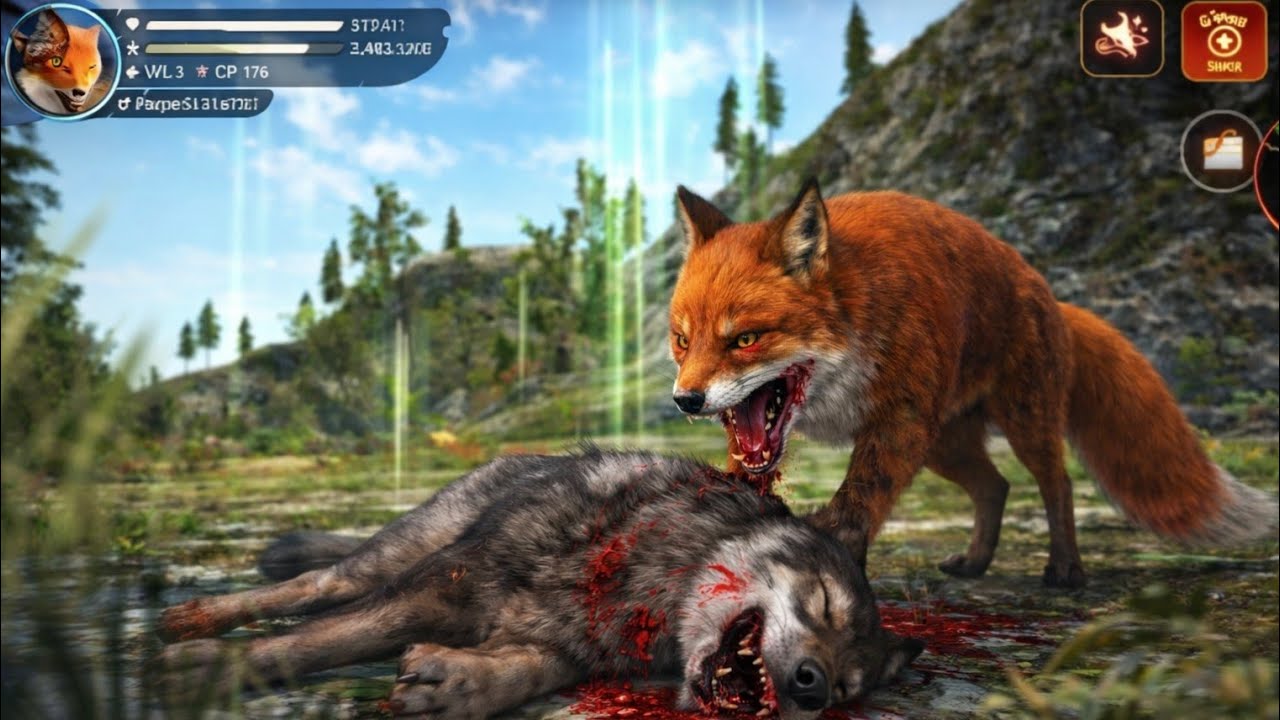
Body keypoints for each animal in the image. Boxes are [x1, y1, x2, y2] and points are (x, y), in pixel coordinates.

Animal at [156, 447, 923, 719]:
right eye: (822, 603)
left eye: (849, 688)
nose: (813, 688)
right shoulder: (440, 587)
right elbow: (308, 644)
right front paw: (215, 669)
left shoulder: (567, 649)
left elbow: (523, 671)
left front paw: (458, 684)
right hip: (400, 553)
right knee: (314, 586)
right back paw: (197, 619)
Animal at [667, 179, 1278, 589]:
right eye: (681, 340)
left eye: (745, 339)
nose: (685, 400)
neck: (861, 311)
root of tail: (1053, 298)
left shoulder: (900, 419)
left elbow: (860, 498)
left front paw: (829, 552)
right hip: (944, 444)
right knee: (995, 486)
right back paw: (976, 561)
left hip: (1019, 424)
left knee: (1056, 484)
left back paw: (1065, 568)